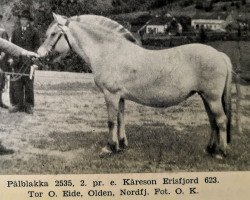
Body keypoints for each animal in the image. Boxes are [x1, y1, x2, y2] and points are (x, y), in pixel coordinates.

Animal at [37, 12, 232, 159]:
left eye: (53, 34)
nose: (39, 54)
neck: (110, 52)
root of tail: (220, 55)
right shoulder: (120, 96)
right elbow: (121, 118)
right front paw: (121, 145)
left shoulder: (110, 94)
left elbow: (111, 121)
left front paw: (109, 147)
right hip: (205, 97)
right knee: (213, 121)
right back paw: (209, 149)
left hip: (212, 98)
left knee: (221, 120)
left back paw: (221, 152)